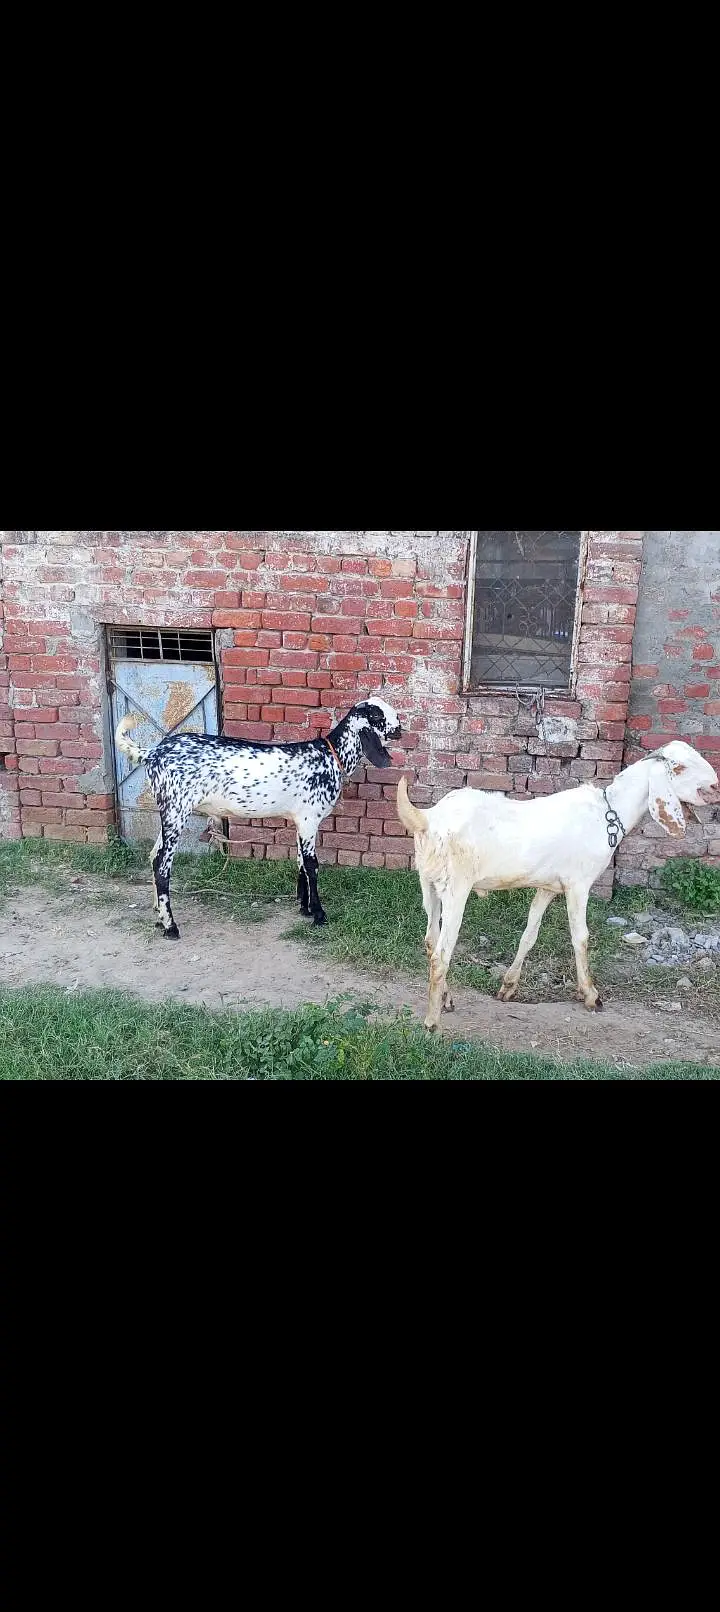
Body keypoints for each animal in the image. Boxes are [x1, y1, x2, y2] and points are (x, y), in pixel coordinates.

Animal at [116, 698, 401, 939]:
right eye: (379, 716)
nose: (400, 728)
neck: (330, 756)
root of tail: (153, 754)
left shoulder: (299, 820)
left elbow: (300, 861)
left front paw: (304, 907)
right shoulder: (310, 819)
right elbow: (312, 865)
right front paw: (319, 914)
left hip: (168, 812)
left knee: (153, 855)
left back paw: (158, 917)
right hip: (176, 810)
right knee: (162, 864)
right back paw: (171, 926)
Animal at [397, 742, 720, 1032]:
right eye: (679, 767)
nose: (715, 787)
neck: (609, 813)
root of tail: (429, 819)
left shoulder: (550, 887)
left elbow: (530, 934)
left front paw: (508, 987)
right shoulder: (579, 884)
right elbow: (581, 937)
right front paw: (591, 995)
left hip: (429, 883)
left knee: (430, 939)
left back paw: (446, 999)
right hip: (456, 887)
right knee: (441, 952)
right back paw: (432, 1022)